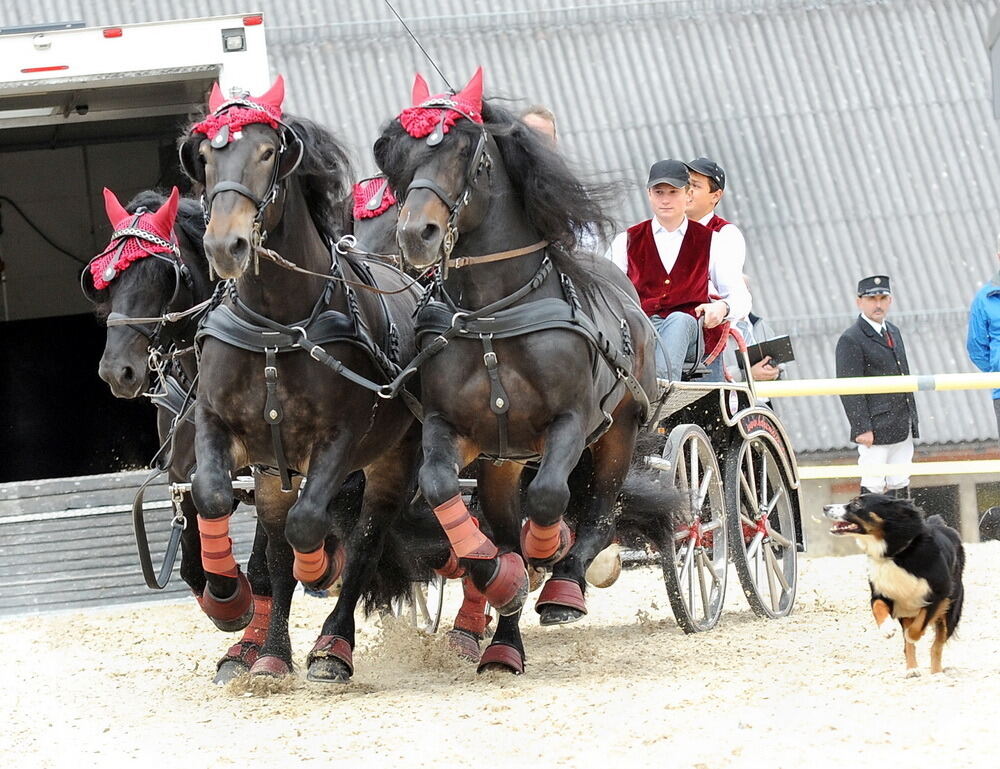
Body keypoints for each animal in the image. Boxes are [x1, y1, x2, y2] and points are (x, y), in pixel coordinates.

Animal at [83, 189, 274, 680]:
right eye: (106, 279)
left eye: (161, 274)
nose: (116, 371)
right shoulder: (183, 475)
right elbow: (192, 565)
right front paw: (229, 605)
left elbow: (266, 562)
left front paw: (251, 643)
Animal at [182, 78, 424, 680]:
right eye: (205, 156)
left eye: (268, 152)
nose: (225, 246)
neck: (278, 325)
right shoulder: (220, 424)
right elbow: (214, 496)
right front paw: (227, 599)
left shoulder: (340, 439)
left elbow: (310, 525)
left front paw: (320, 569)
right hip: (275, 469)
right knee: (273, 545)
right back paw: (270, 653)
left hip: (391, 458)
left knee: (364, 540)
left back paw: (332, 645)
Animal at [378, 70, 668, 672]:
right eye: (401, 156)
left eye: (465, 154)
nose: (416, 234)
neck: (495, 314)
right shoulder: (451, 428)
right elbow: (442, 489)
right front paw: (503, 577)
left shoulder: (571, 421)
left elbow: (552, 497)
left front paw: (548, 556)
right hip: (502, 462)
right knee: (508, 526)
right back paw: (504, 645)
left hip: (619, 430)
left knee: (600, 511)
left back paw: (563, 582)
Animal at [824, 496, 964, 676]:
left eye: (856, 504)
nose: (825, 507)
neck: (895, 554)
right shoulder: (882, 592)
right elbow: (878, 606)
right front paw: (886, 629)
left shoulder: (939, 593)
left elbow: (919, 626)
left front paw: (914, 634)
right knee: (910, 644)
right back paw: (912, 670)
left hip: (951, 610)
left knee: (937, 644)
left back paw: (936, 673)